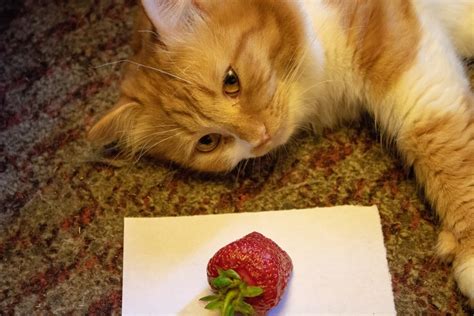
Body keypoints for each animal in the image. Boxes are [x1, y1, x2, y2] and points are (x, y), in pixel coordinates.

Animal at [89, 0, 474, 306]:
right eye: (208, 142)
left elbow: (441, 145)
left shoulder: (402, 55)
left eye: (231, 81)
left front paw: (468, 252)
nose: (260, 136)